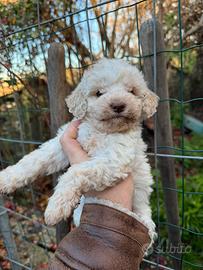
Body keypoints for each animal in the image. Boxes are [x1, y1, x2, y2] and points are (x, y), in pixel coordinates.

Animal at [0, 58, 159, 238]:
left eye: (131, 91)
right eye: (99, 93)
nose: (118, 105)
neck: (100, 131)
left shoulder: (115, 158)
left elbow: (75, 172)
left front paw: (55, 207)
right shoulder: (61, 144)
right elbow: (35, 160)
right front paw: (6, 178)